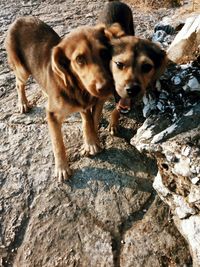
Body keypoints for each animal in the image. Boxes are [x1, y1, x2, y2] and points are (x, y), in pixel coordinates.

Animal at [5, 15, 114, 182]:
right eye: (79, 59)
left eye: (104, 52)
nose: (107, 87)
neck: (77, 88)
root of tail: (21, 18)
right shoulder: (52, 115)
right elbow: (58, 144)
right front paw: (62, 168)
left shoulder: (88, 103)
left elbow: (89, 121)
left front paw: (90, 142)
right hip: (22, 70)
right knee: (18, 83)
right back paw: (23, 103)